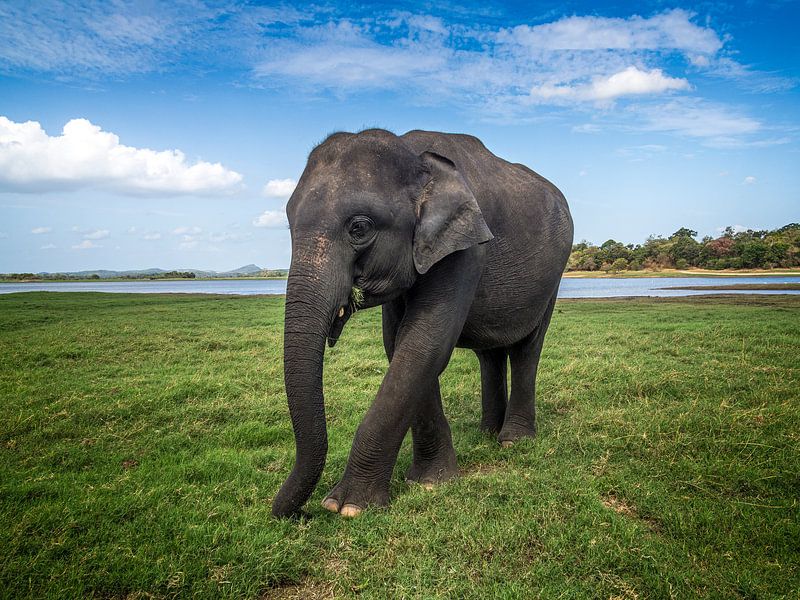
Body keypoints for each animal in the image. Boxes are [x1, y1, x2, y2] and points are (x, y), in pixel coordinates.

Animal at [272, 129, 572, 516]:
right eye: (290, 225)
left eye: (359, 228)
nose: (300, 514)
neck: (412, 152)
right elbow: (400, 343)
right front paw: (429, 482)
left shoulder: (465, 248)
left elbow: (423, 343)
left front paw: (347, 506)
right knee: (490, 354)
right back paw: (486, 433)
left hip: (553, 276)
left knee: (527, 347)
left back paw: (512, 441)